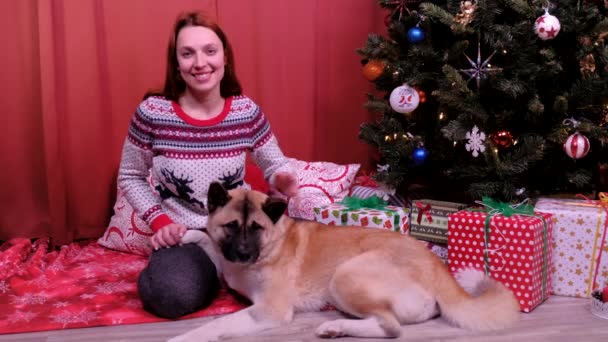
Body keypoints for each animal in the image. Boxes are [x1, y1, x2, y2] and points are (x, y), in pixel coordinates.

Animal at [169, 184, 520, 342]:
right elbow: (211, 247)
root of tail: (436, 264)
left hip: (343, 276)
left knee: (390, 327)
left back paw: (336, 326)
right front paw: (187, 234)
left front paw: (186, 337)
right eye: (231, 226)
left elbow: (218, 323)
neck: (271, 244)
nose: (242, 254)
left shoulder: (269, 310)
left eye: (256, 228)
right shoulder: (227, 263)